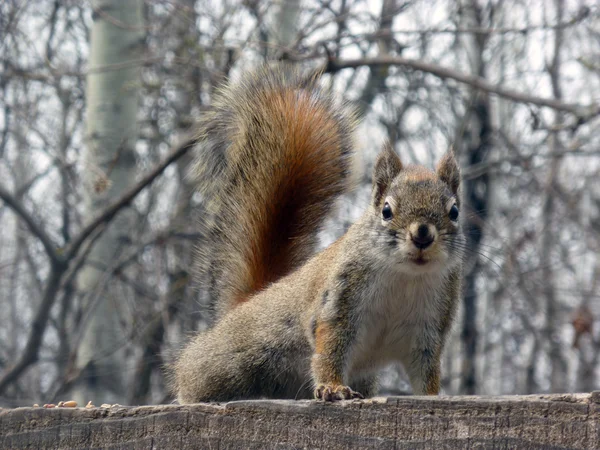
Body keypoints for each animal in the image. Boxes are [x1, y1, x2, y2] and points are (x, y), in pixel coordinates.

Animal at [171, 65, 466, 402]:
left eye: (454, 211)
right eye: (386, 210)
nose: (422, 235)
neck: (405, 277)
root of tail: (249, 302)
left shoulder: (428, 331)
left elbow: (425, 370)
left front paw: (433, 395)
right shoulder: (338, 304)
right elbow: (329, 350)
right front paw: (333, 387)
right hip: (230, 363)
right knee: (194, 377)